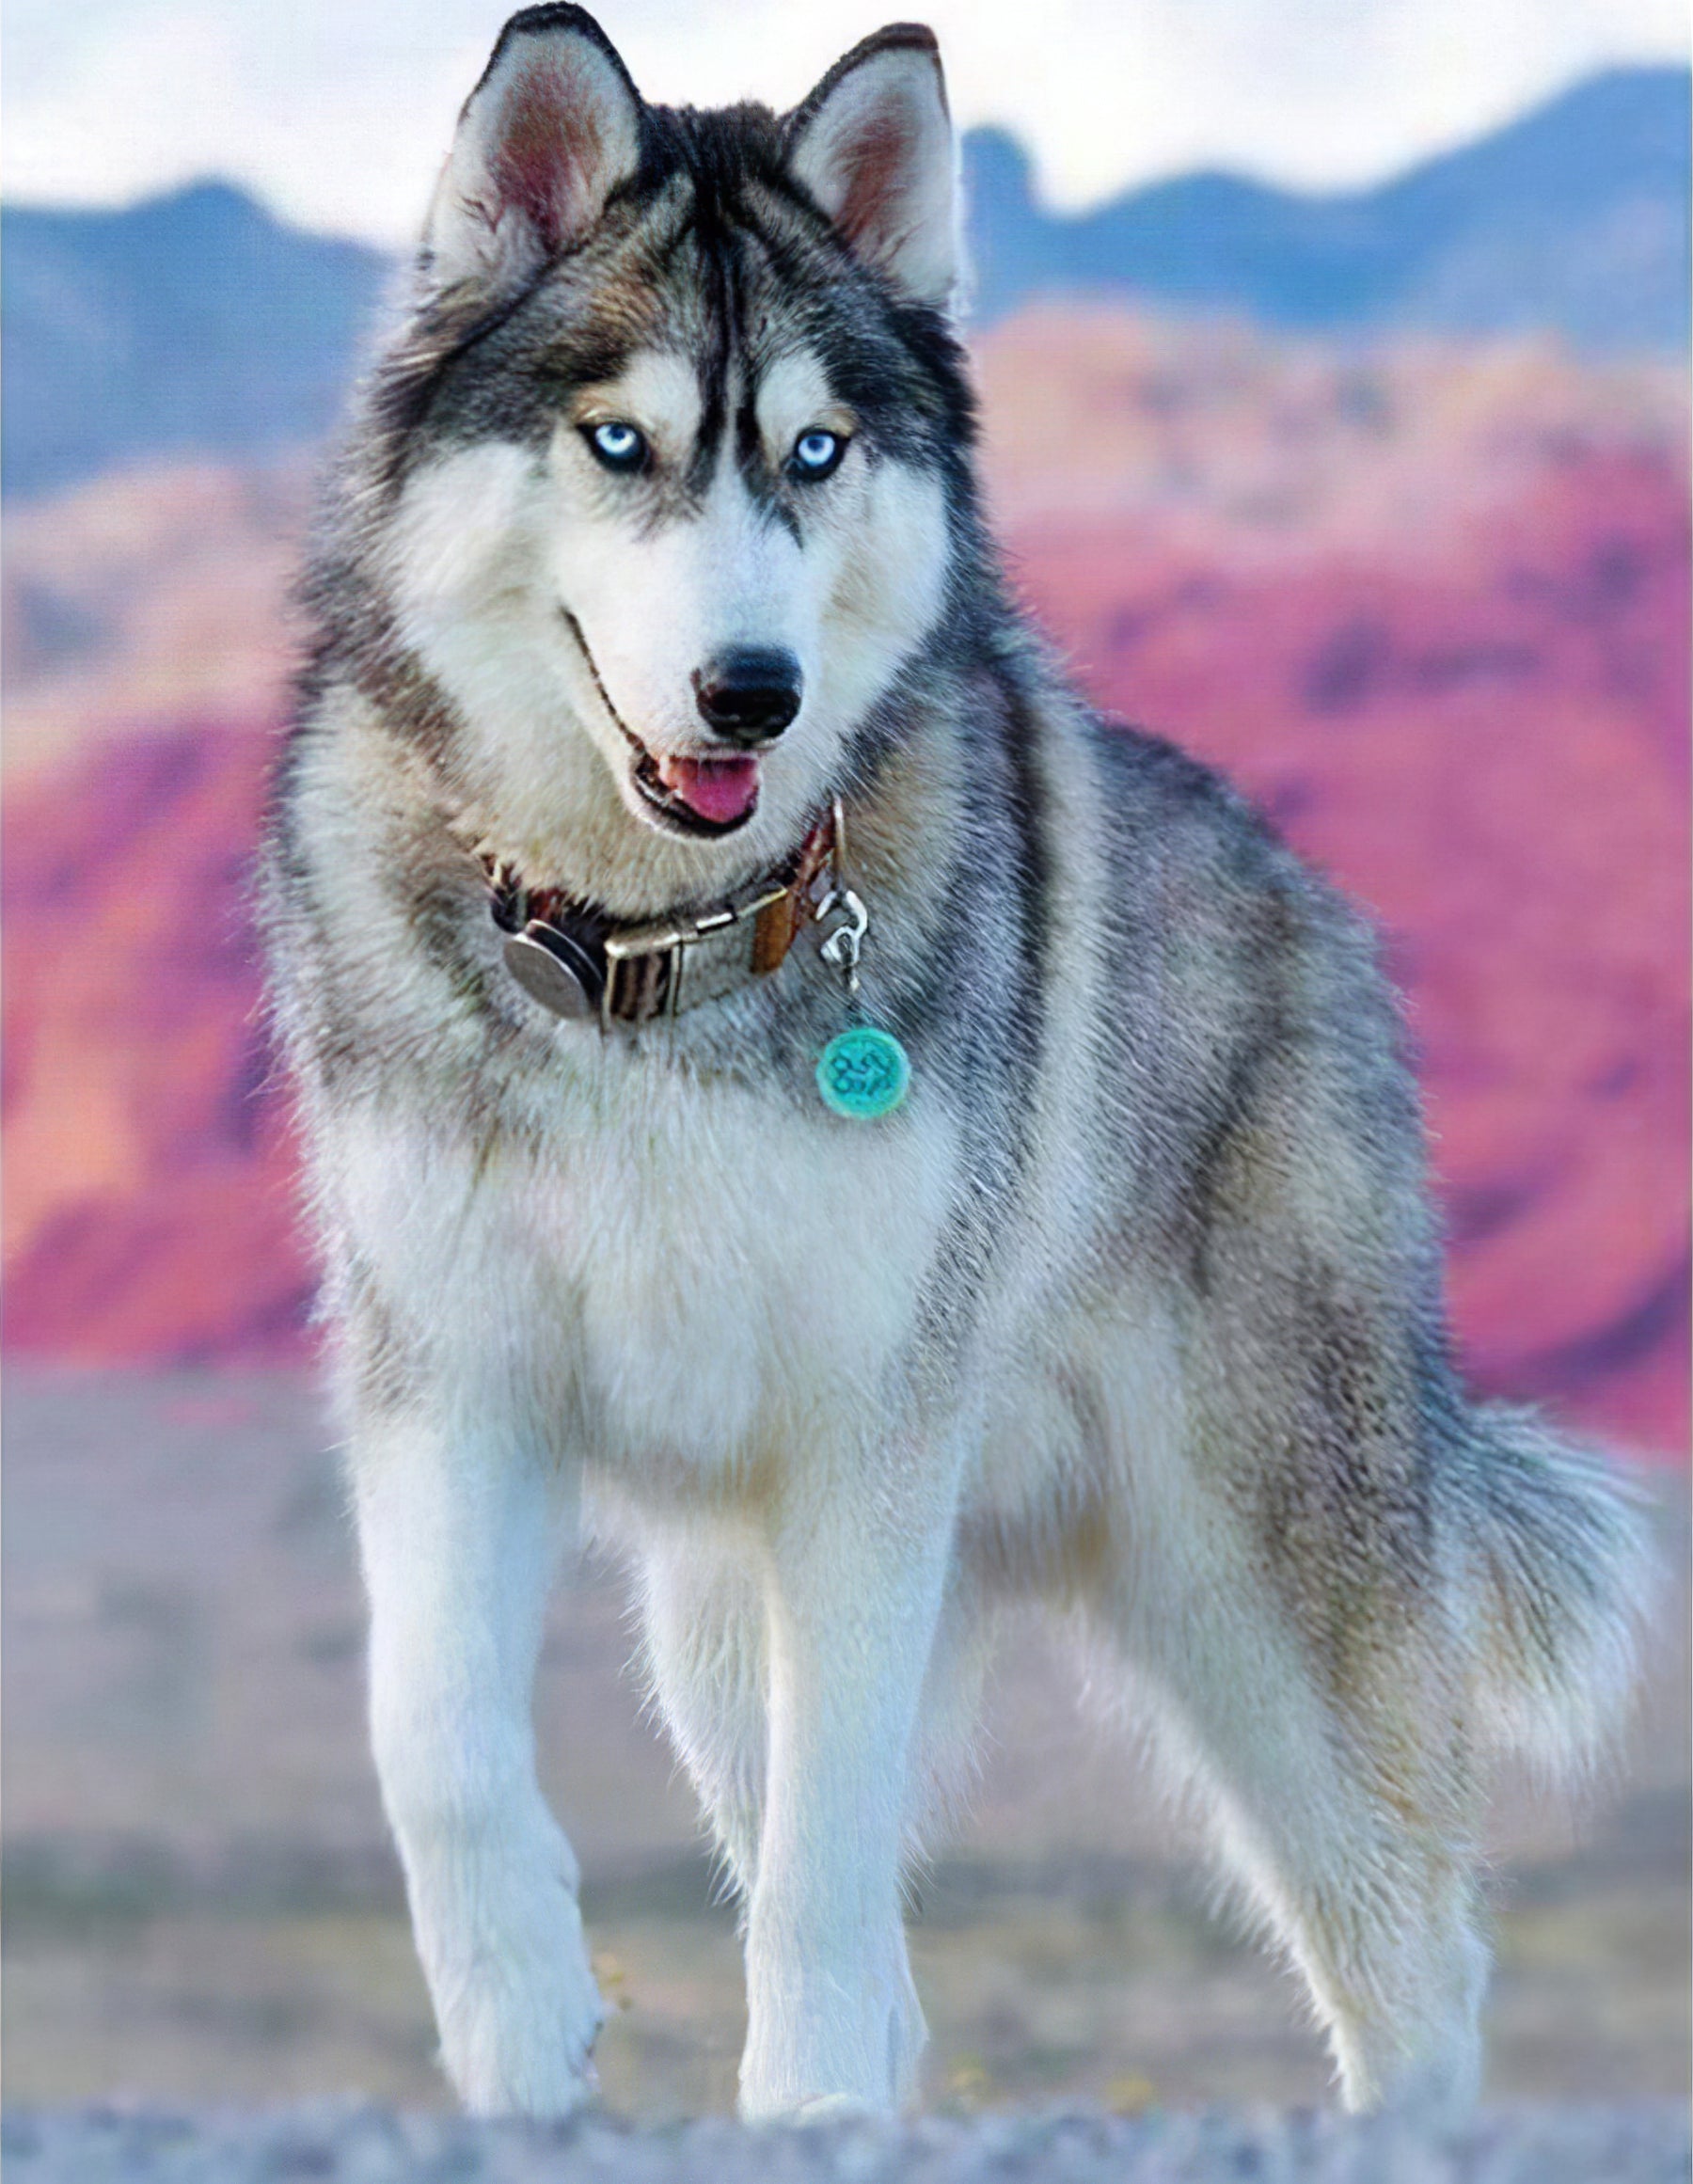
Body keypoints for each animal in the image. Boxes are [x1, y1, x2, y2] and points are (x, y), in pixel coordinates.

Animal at [258, 0, 1651, 2113]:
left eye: (817, 450)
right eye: (617, 440)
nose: (754, 692)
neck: (648, 957)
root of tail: (1322, 915)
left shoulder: (865, 1446)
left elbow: (827, 1864)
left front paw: (811, 2104)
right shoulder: (449, 1387)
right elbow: (434, 1748)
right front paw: (523, 2034)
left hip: (1268, 1600)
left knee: (1413, 1959)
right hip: (712, 1625)